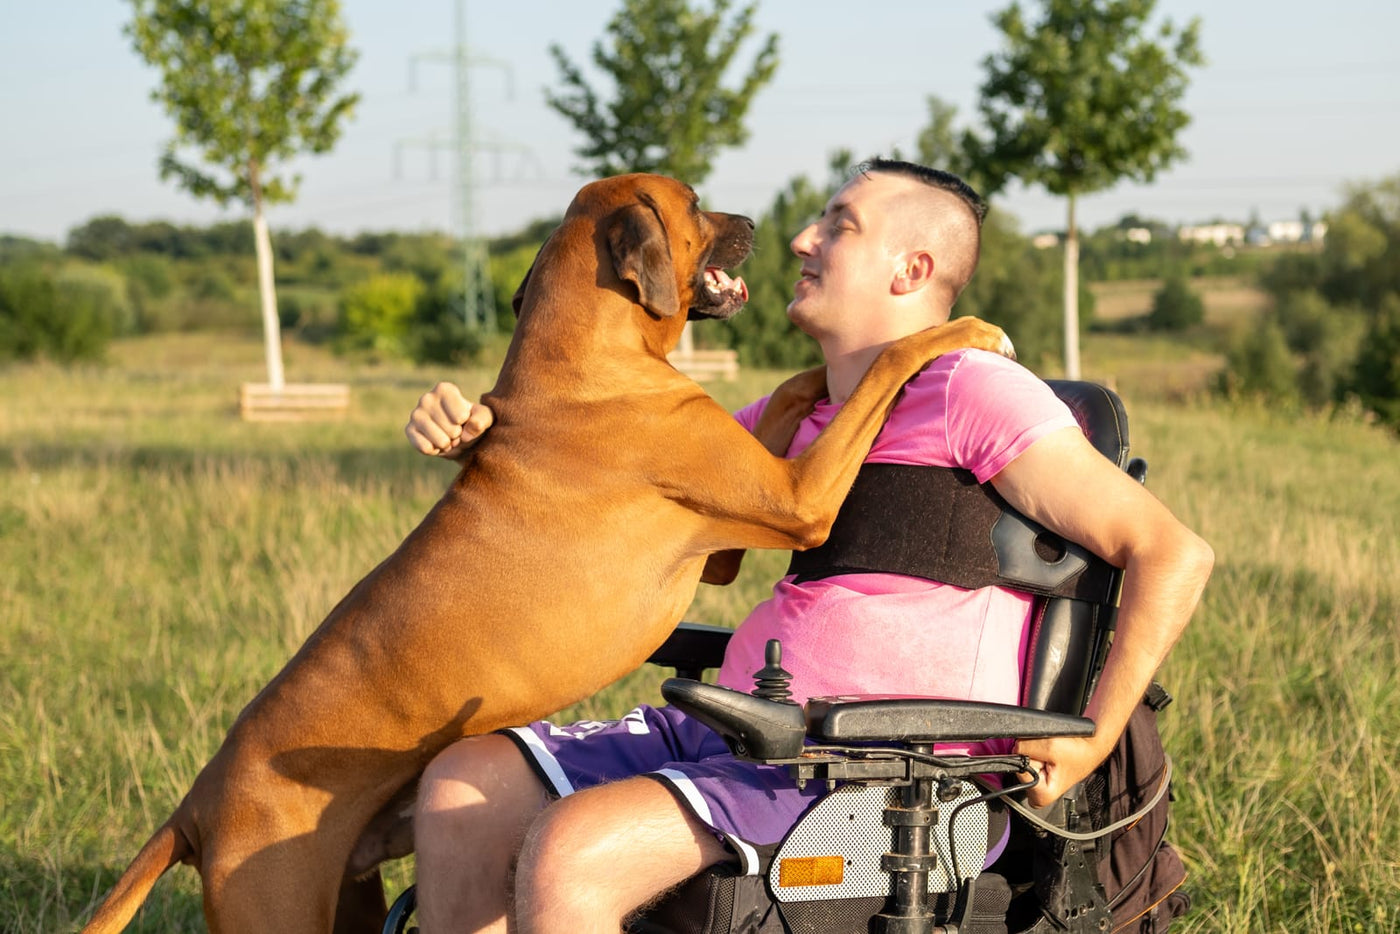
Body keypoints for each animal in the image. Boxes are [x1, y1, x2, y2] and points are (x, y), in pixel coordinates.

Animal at [79, 171, 1008, 929]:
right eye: (693, 201)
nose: (761, 223)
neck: (585, 352)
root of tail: (196, 804)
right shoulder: (801, 498)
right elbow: (885, 360)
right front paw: (966, 326)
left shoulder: (741, 527)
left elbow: (796, 385)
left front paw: (829, 371)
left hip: (350, 895)